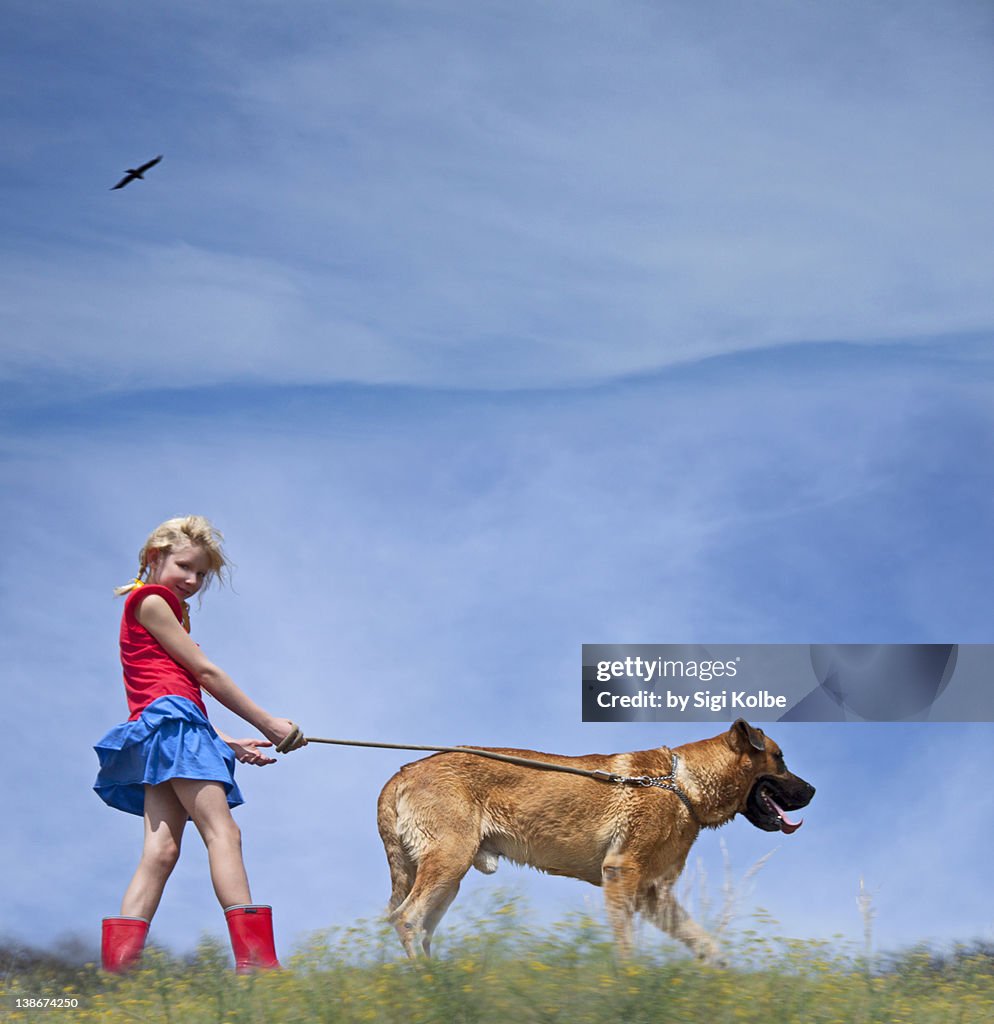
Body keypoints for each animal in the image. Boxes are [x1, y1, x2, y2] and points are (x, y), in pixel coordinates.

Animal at [376, 720, 810, 958]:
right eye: (781, 758)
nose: (813, 790)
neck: (681, 784)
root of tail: (402, 771)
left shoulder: (652, 894)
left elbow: (702, 940)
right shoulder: (621, 874)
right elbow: (626, 946)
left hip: (444, 876)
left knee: (420, 927)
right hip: (449, 860)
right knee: (408, 920)